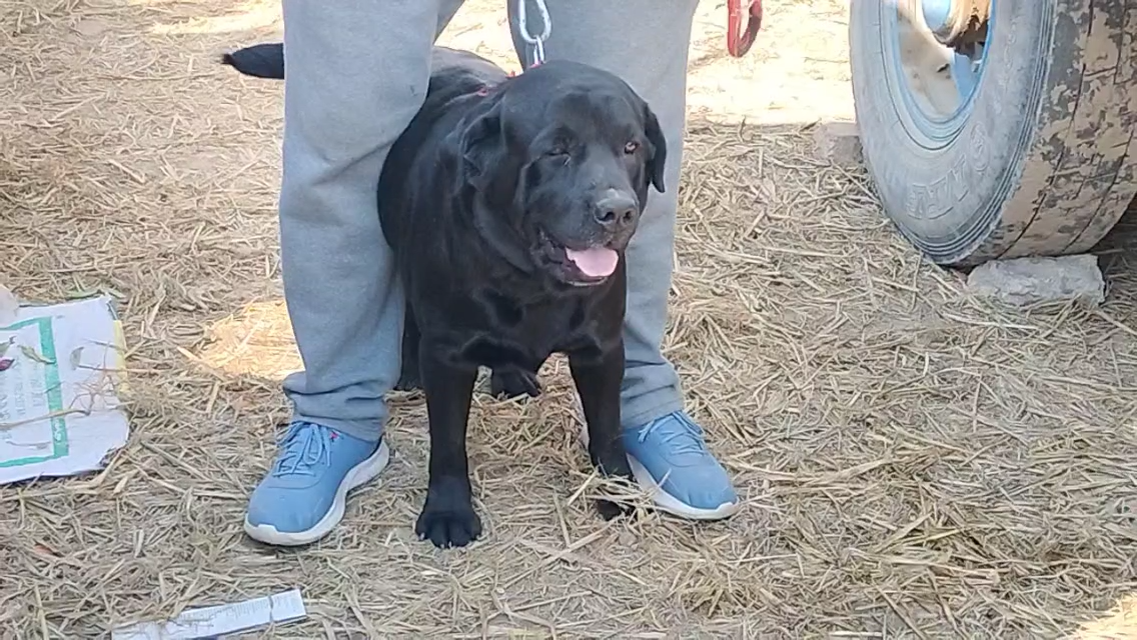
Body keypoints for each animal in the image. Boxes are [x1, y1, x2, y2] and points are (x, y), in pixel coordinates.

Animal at [221, 45, 664, 547]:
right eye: (556, 151)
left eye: (630, 148)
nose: (618, 211)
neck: (527, 279)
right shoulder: (448, 354)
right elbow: (449, 441)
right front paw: (448, 510)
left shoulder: (602, 348)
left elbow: (607, 426)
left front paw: (618, 490)